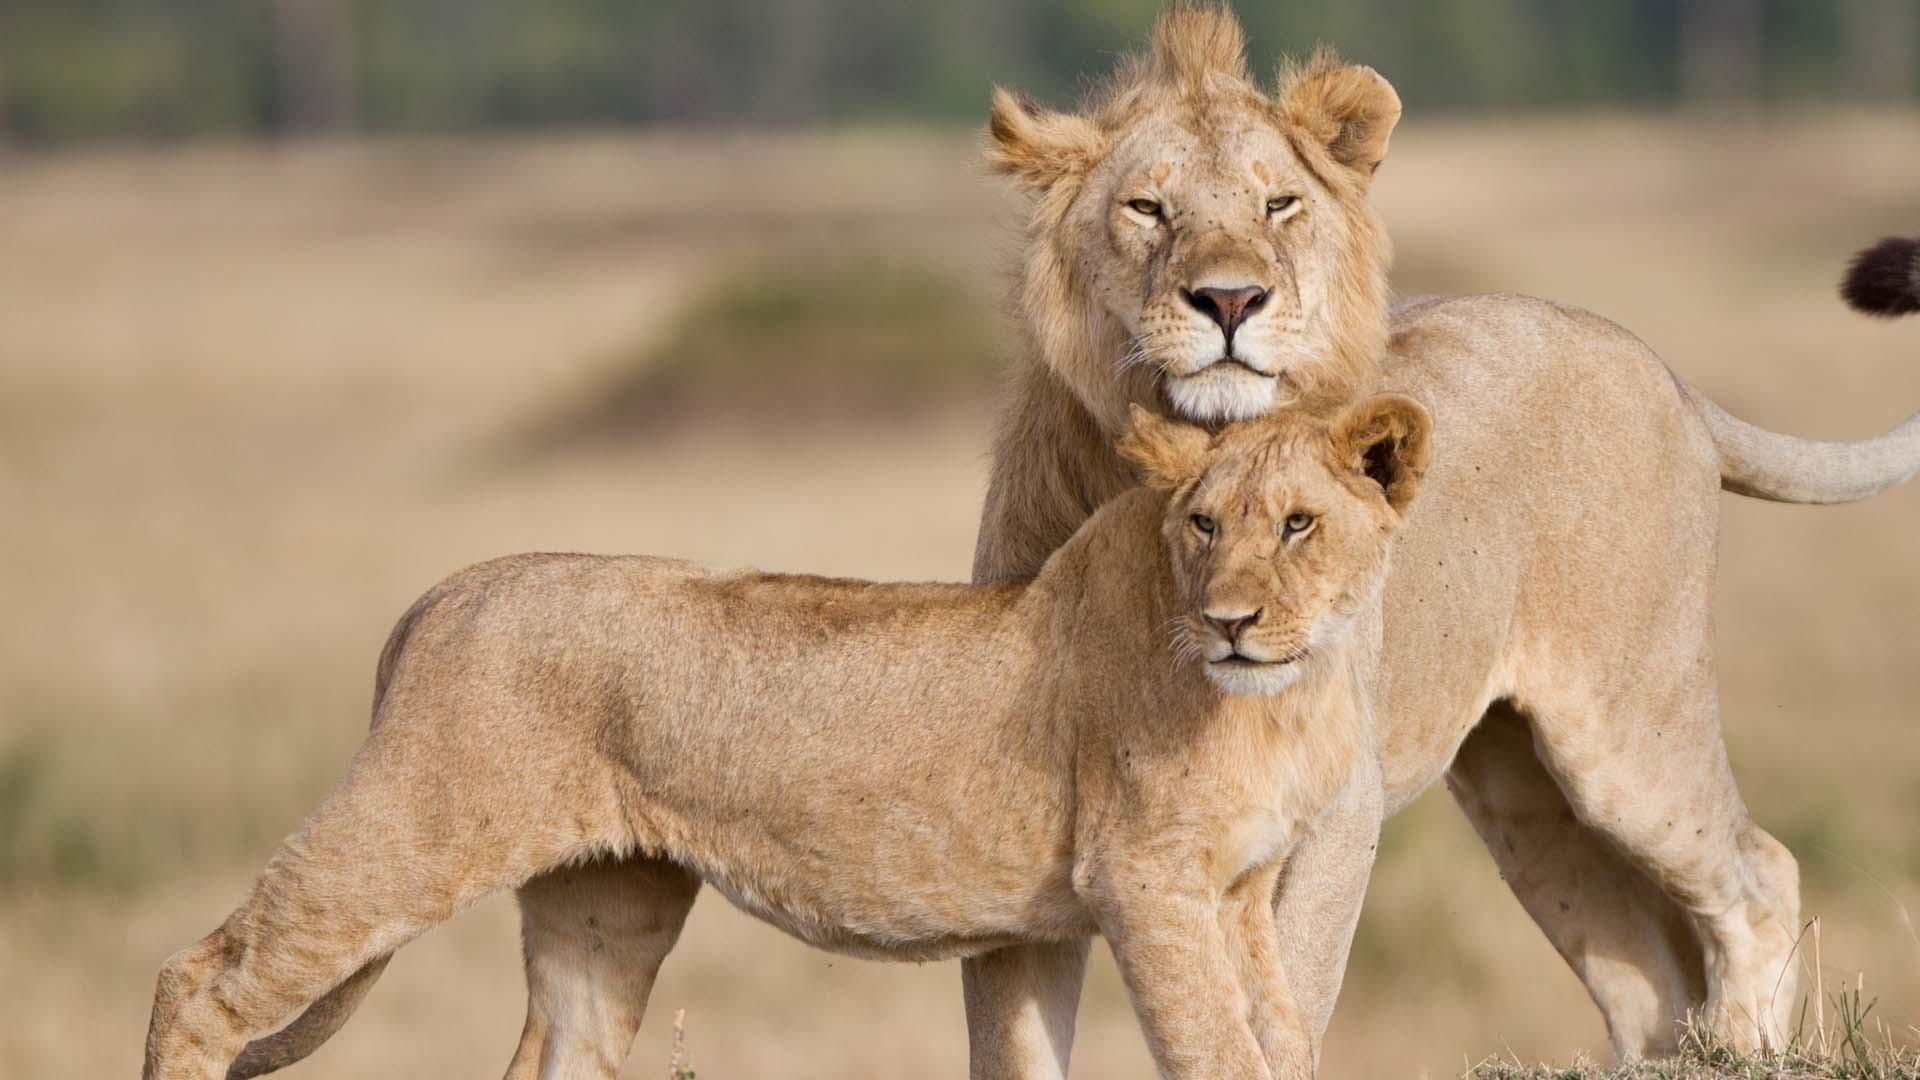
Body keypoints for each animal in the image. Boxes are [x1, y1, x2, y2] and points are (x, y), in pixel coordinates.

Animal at [143, 398, 1432, 1080]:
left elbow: (1278, 1036)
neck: (1288, 695)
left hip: (607, 906)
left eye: (1299, 525)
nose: (1228, 619)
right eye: (1203, 524)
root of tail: (449, 588)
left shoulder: (1240, 891)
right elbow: (1219, 1050)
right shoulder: (1145, 883)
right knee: (201, 978)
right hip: (415, 824)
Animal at [951, 8, 1920, 1079]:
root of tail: (1663, 368)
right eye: (1148, 209)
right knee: (1644, 977)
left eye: (1279, 205)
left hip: (1625, 730)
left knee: (1760, 872)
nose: (1232, 301)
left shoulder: (1338, 806)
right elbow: (1011, 1036)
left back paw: (1748, 1044)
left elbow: (1291, 987)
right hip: (1522, 794)